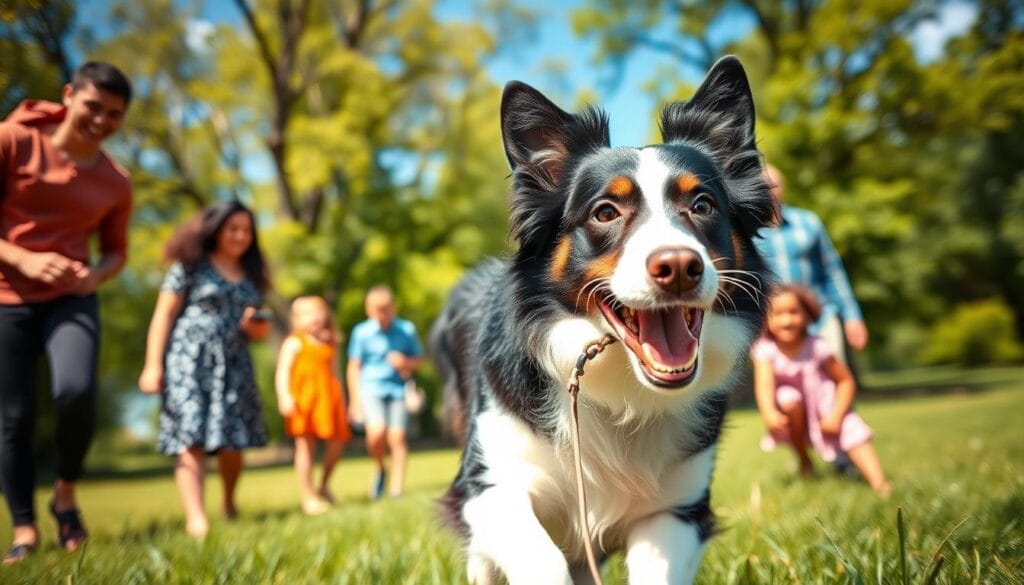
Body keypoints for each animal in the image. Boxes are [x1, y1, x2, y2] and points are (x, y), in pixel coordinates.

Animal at [432, 56, 774, 585]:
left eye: (702, 205)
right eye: (605, 212)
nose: (679, 267)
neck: (621, 392)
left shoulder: (677, 509)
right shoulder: (488, 484)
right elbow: (540, 556)